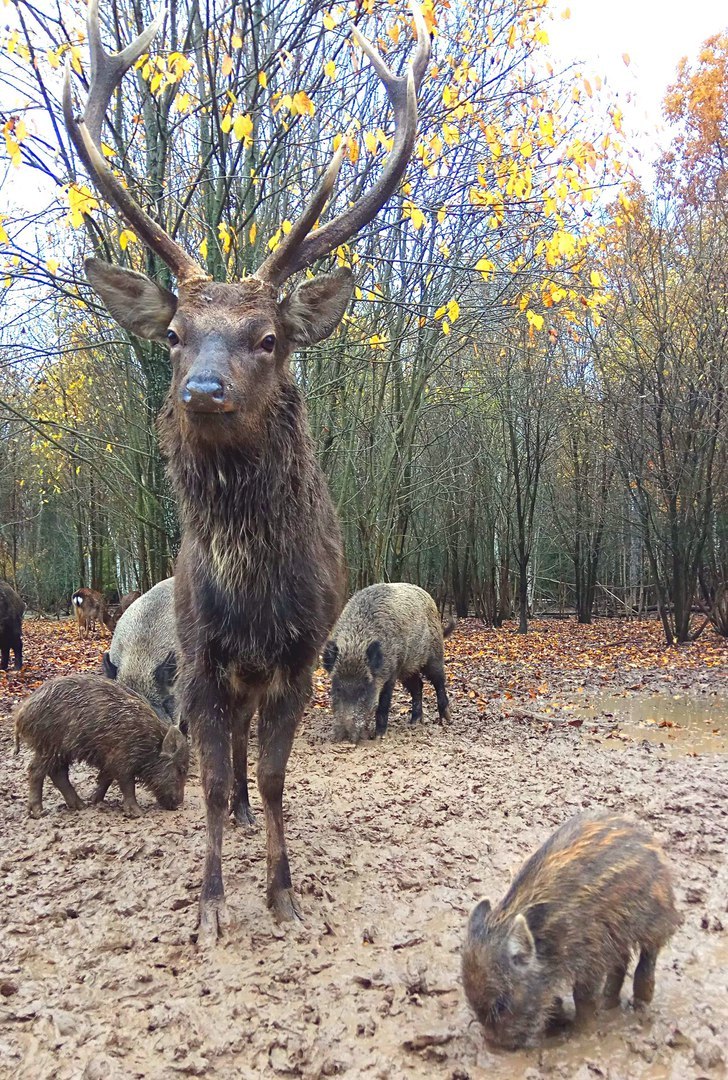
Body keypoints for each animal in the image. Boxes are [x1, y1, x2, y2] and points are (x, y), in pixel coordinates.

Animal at [63, 0, 432, 937]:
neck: (257, 603)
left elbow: (270, 780)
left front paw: (284, 894)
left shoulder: (299, 658)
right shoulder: (199, 656)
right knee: (220, 758)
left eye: (268, 338)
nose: (202, 388)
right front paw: (210, 905)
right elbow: (214, 776)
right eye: (173, 333)